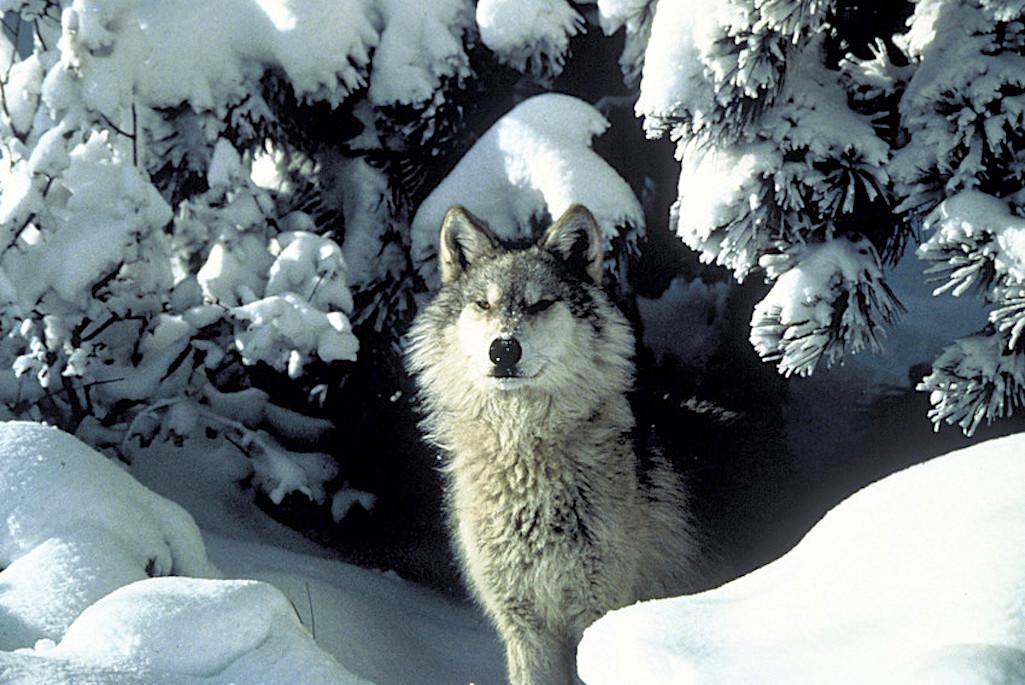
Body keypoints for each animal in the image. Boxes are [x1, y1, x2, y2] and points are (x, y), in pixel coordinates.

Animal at [406, 204, 699, 685]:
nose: (503, 349)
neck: (523, 456)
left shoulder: (597, 614)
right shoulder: (524, 626)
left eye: (541, 303)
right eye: (483, 304)